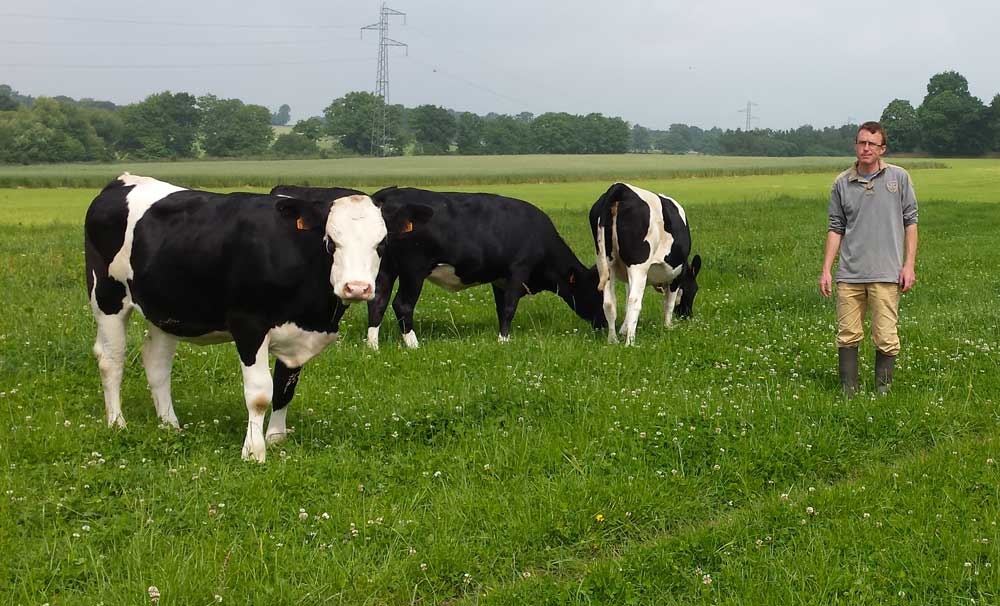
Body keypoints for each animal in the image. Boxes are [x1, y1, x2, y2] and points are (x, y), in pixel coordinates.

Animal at [85, 173, 430, 464]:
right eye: (331, 241)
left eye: (381, 244)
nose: (357, 287)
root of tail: (122, 180)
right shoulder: (249, 326)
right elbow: (260, 393)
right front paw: (254, 452)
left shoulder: (298, 334)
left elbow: (285, 388)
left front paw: (276, 438)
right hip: (107, 297)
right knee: (111, 360)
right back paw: (117, 422)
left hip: (166, 309)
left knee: (156, 362)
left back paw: (170, 425)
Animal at [270, 185, 604, 350]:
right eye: (597, 294)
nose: (603, 325)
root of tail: (387, 197)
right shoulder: (516, 272)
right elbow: (509, 307)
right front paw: (504, 341)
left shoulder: (499, 279)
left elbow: (501, 309)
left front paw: (502, 337)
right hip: (413, 270)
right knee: (402, 305)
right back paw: (413, 344)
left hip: (385, 268)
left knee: (378, 302)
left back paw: (373, 345)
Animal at [584, 183, 704, 346]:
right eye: (695, 289)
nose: (688, 315)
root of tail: (621, 188)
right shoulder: (676, 275)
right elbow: (669, 302)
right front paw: (668, 326)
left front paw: (623, 329)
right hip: (638, 266)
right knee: (634, 300)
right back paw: (630, 343)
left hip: (606, 264)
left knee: (609, 303)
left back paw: (613, 340)